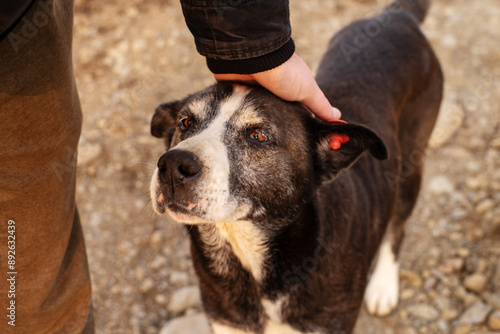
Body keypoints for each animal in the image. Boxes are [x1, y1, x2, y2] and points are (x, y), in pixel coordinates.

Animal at [148, 0, 442, 332]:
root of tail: (398, 16)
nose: (173, 165)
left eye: (258, 136)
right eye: (185, 122)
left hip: (410, 168)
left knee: (397, 226)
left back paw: (382, 286)